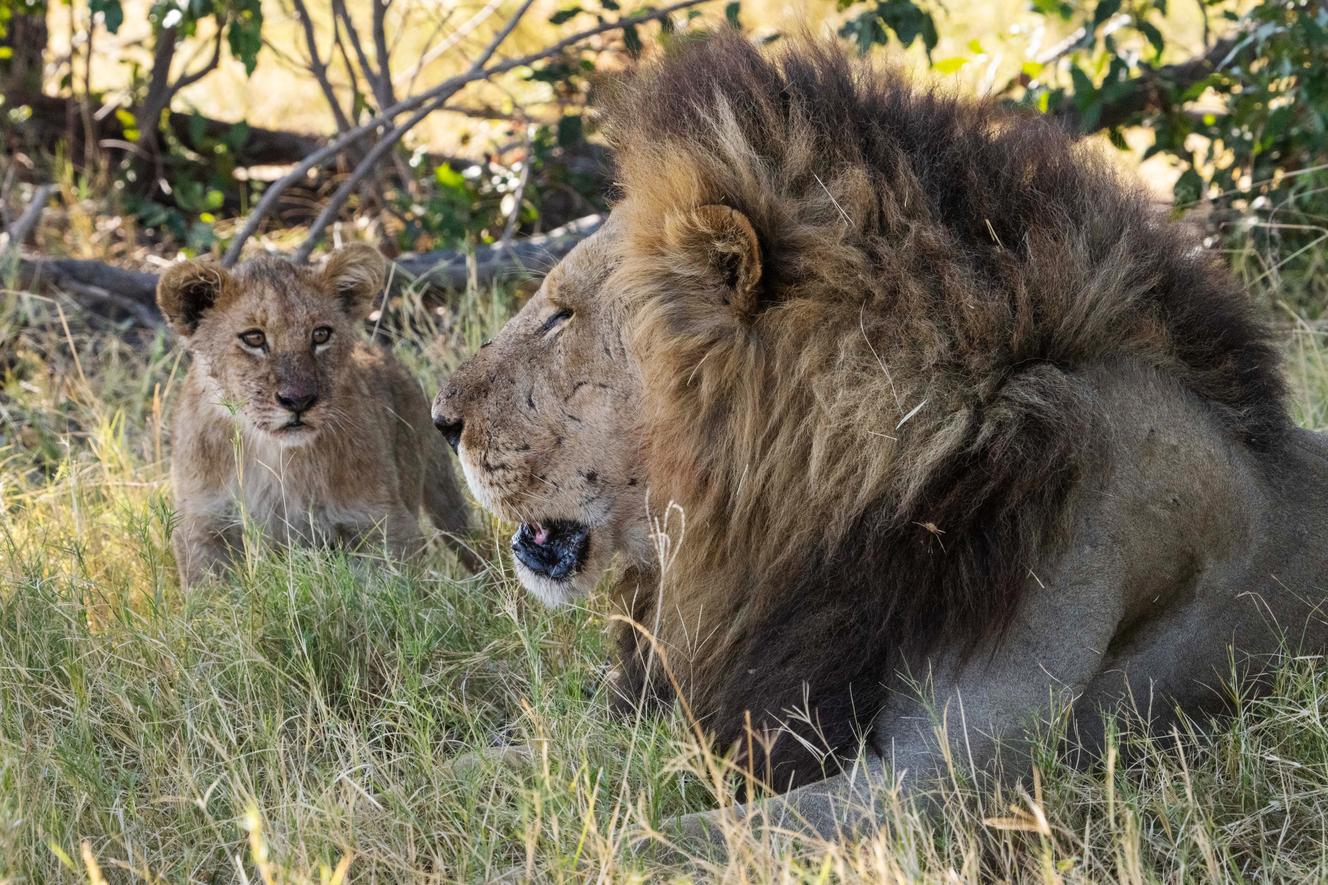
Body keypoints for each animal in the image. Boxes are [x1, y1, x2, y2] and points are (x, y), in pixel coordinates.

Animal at [158, 245, 478, 589]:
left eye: (321, 334)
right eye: (254, 338)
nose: (298, 401)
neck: (273, 457)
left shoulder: (383, 522)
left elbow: (395, 593)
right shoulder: (203, 524)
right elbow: (210, 594)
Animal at [433, 34, 1328, 842]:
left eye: (561, 315)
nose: (441, 420)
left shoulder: (945, 781)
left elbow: (665, 840)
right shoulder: (724, 700)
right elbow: (514, 756)